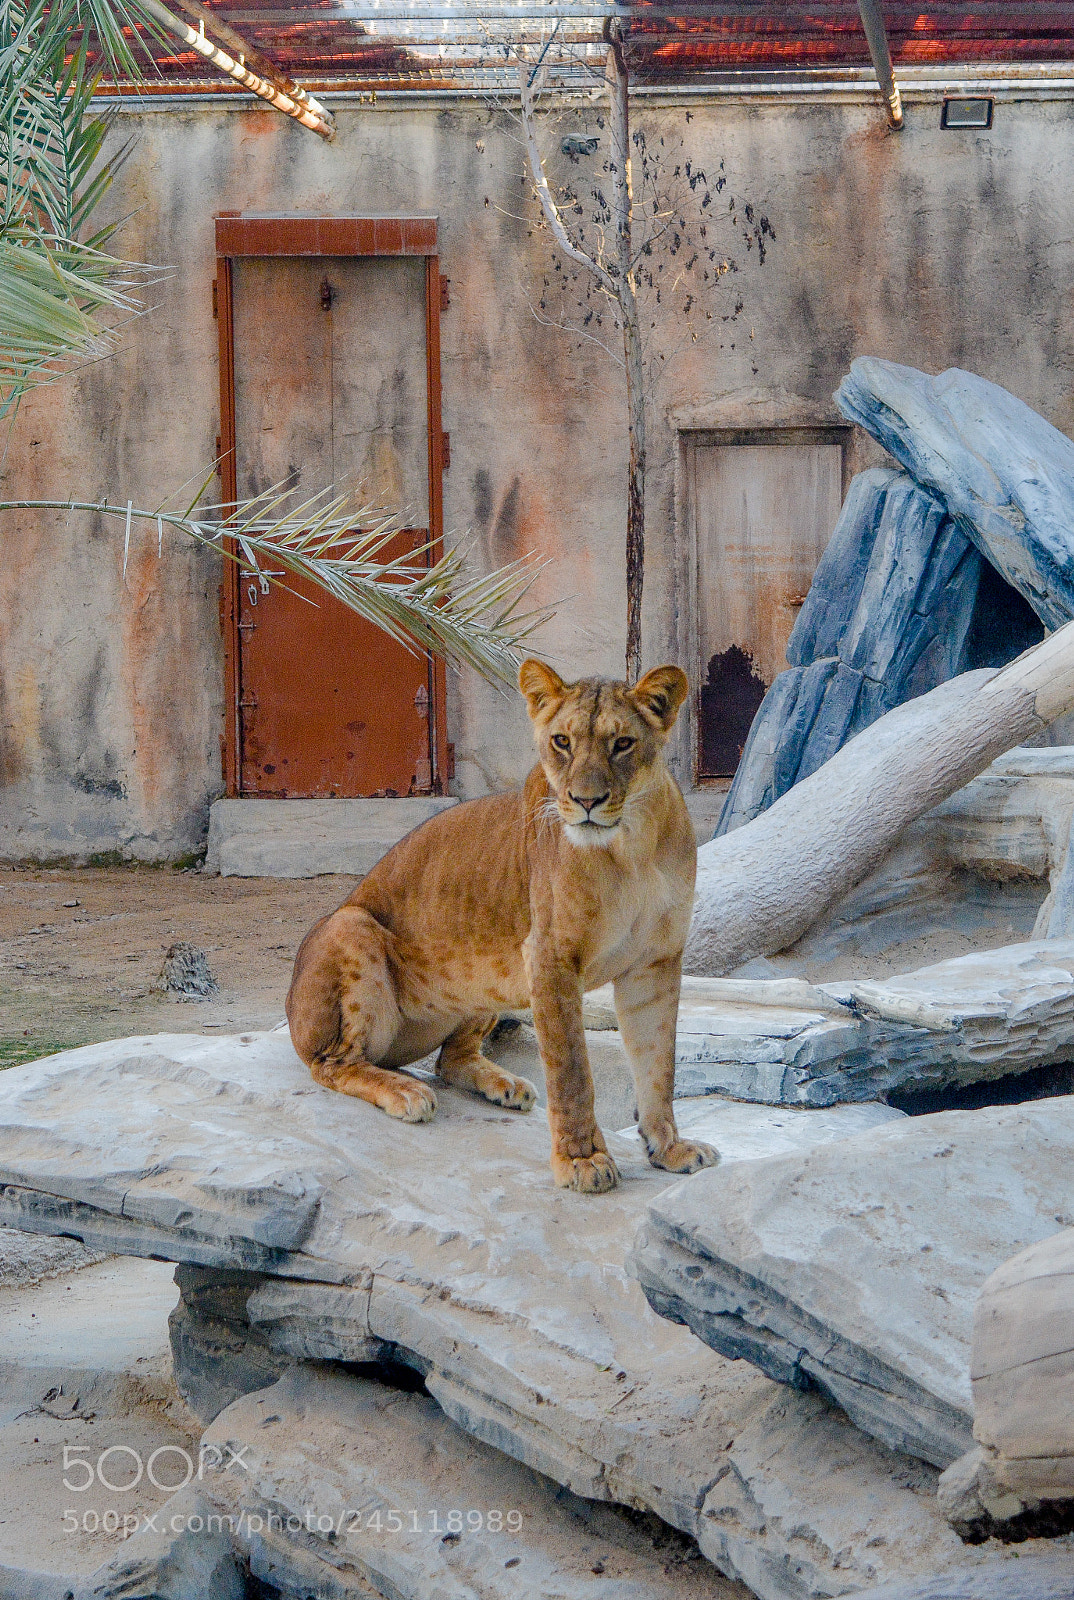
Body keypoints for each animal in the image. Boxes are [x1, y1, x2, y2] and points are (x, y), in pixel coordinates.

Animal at [286, 659, 718, 1193]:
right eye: (561, 741)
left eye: (623, 743)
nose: (586, 801)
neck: (631, 845)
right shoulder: (550, 957)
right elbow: (572, 1071)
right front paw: (582, 1161)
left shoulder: (655, 963)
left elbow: (658, 1064)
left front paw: (670, 1149)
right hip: (350, 925)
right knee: (334, 1063)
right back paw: (405, 1092)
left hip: (489, 969)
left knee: (449, 1060)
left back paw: (505, 1085)